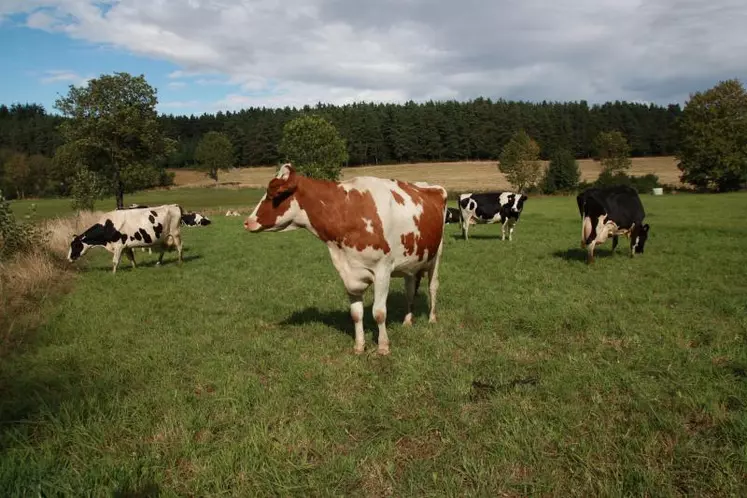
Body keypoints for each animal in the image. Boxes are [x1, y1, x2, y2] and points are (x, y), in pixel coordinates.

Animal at [244, 163, 450, 354]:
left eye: (273, 194)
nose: (247, 222)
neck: (348, 212)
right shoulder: (348, 271)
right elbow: (356, 313)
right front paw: (359, 346)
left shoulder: (382, 270)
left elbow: (379, 313)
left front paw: (383, 347)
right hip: (410, 263)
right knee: (409, 290)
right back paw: (407, 321)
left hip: (437, 254)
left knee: (433, 287)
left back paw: (432, 318)